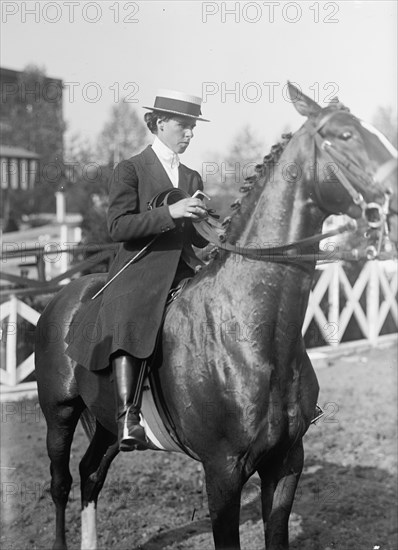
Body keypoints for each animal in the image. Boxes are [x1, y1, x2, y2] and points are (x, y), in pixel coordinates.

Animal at [35, 83, 396, 550]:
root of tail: (62, 299)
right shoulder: (222, 472)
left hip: (105, 423)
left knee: (90, 474)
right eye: (345, 135)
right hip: (59, 413)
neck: (254, 334)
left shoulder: (287, 462)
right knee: (61, 483)